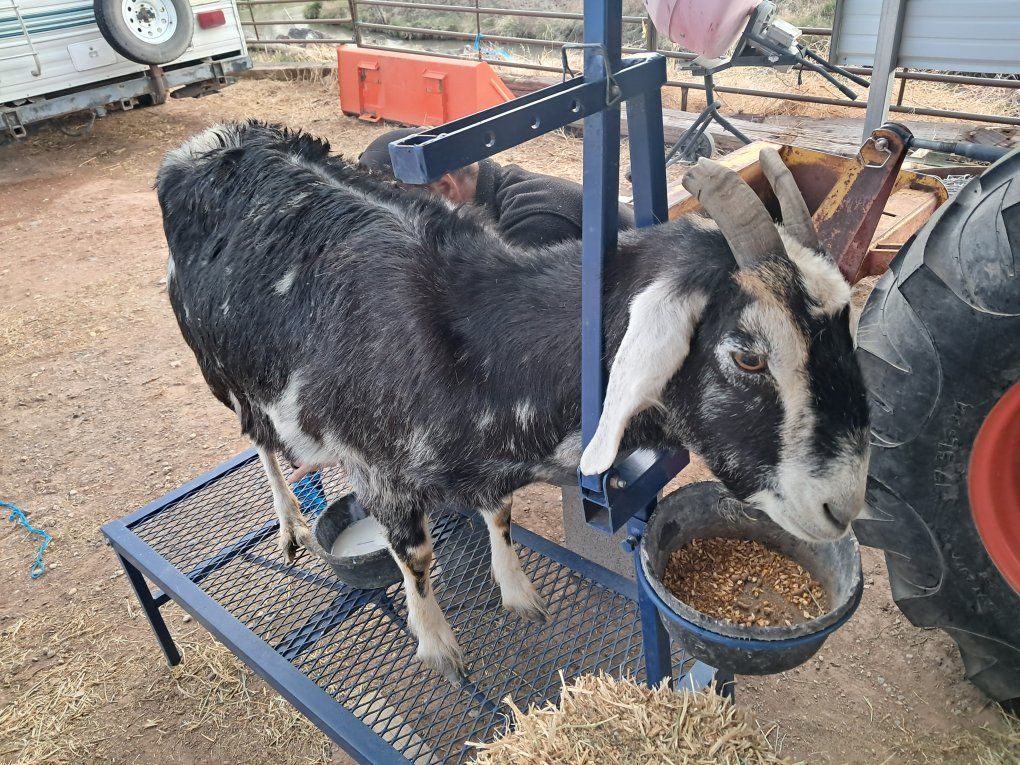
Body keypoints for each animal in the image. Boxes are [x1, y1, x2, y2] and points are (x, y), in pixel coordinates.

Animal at [156, 120, 869, 682]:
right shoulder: (375, 466)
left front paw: (518, 591)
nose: (842, 505)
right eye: (748, 355)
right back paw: (289, 526)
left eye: (847, 323)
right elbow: (415, 557)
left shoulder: (488, 467)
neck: (473, 335)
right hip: (222, 367)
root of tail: (203, 144)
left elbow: (498, 513)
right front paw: (437, 645)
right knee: (260, 444)